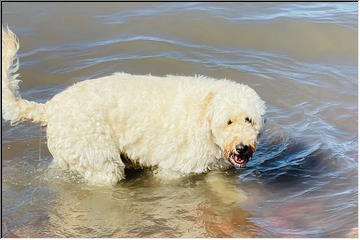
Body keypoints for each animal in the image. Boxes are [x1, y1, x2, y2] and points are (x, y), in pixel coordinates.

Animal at [1, 27, 266, 186]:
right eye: (228, 121)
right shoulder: (172, 172)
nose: (242, 148)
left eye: (249, 120)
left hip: (68, 155)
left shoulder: (215, 169)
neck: (204, 115)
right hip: (100, 163)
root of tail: (50, 107)